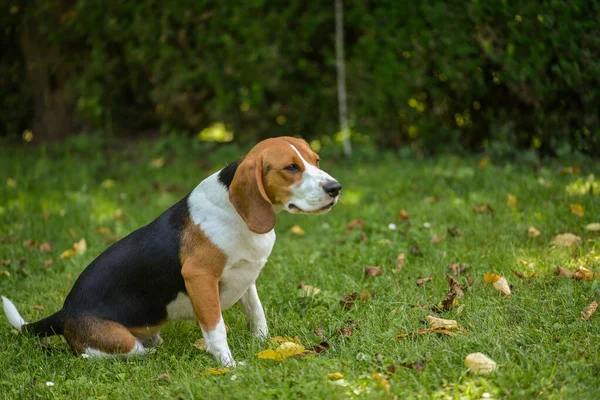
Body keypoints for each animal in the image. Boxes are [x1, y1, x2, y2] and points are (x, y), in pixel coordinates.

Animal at [3, 137, 342, 366]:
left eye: (317, 160)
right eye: (291, 168)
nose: (336, 188)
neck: (235, 212)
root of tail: (64, 313)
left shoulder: (247, 274)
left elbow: (256, 312)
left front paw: (265, 342)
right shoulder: (200, 278)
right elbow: (216, 329)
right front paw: (229, 366)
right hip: (120, 342)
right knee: (106, 355)